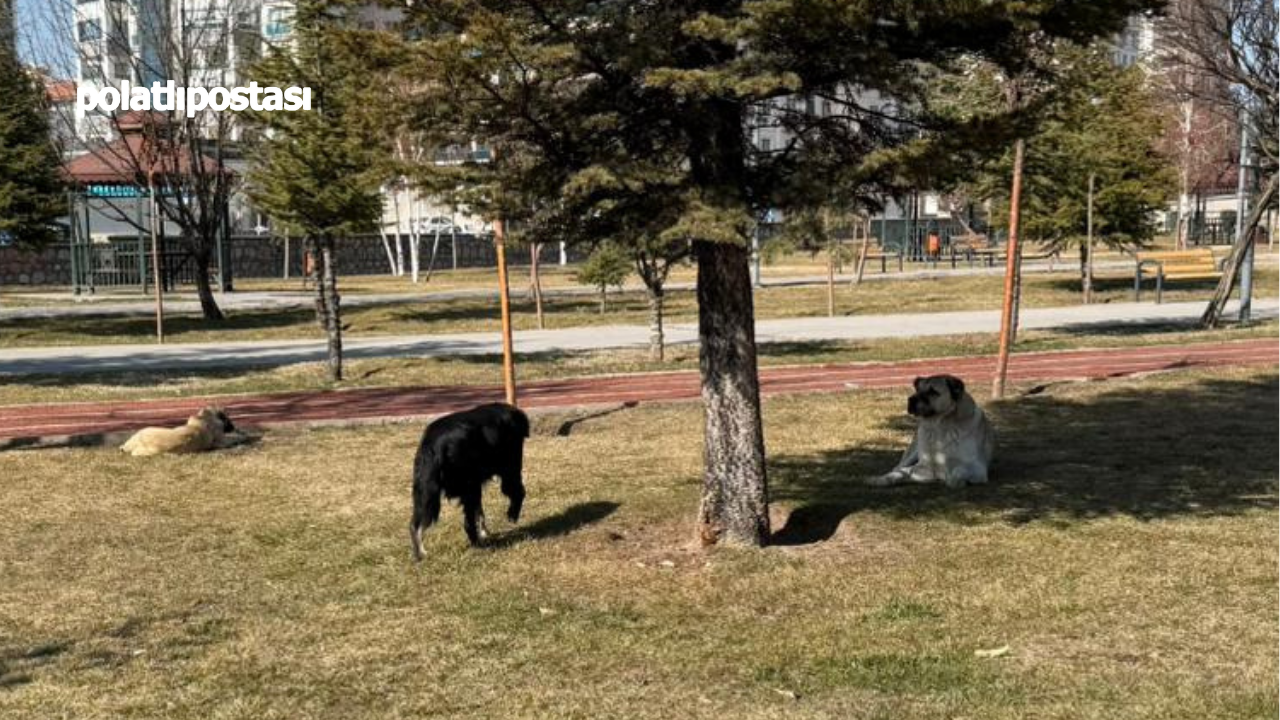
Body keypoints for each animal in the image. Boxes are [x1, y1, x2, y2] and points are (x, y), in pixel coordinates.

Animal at [409, 399, 529, 558]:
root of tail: (434, 447)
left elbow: (480, 512)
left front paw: (485, 532)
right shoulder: (508, 470)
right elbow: (518, 493)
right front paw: (512, 515)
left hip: (426, 493)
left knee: (415, 525)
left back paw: (420, 554)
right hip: (472, 487)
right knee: (468, 523)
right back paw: (478, 544)